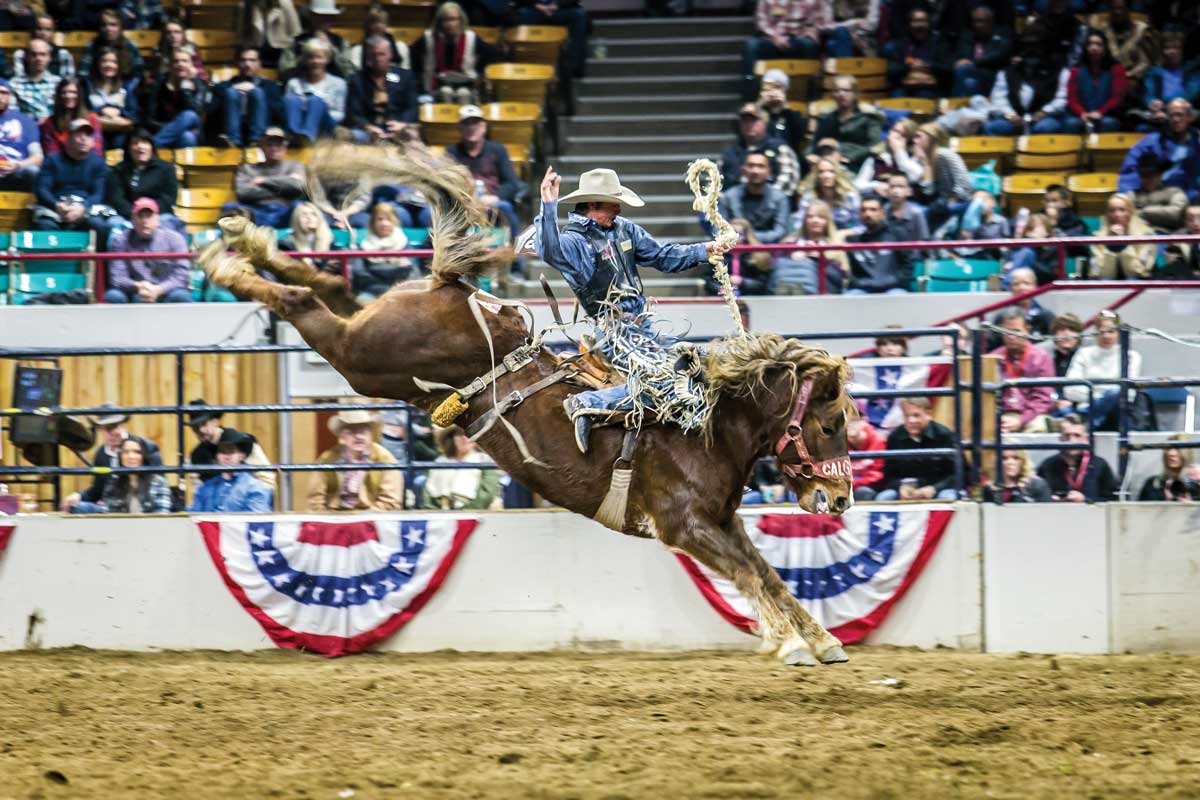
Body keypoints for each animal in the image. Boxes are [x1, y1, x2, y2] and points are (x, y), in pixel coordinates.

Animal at [197, 143, 857, 667]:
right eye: (830, 424)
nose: (840, 499)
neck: (707, 425)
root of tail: (451, 286)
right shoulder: (686, 524)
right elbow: (749, 573)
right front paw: (792, 645)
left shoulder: (722, 521)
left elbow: (767, 572)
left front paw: (821, 640)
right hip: (364, 359)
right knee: (301, 302)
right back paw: (223, 260)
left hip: (374, 338)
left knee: (329, 288)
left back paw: (241, 237)